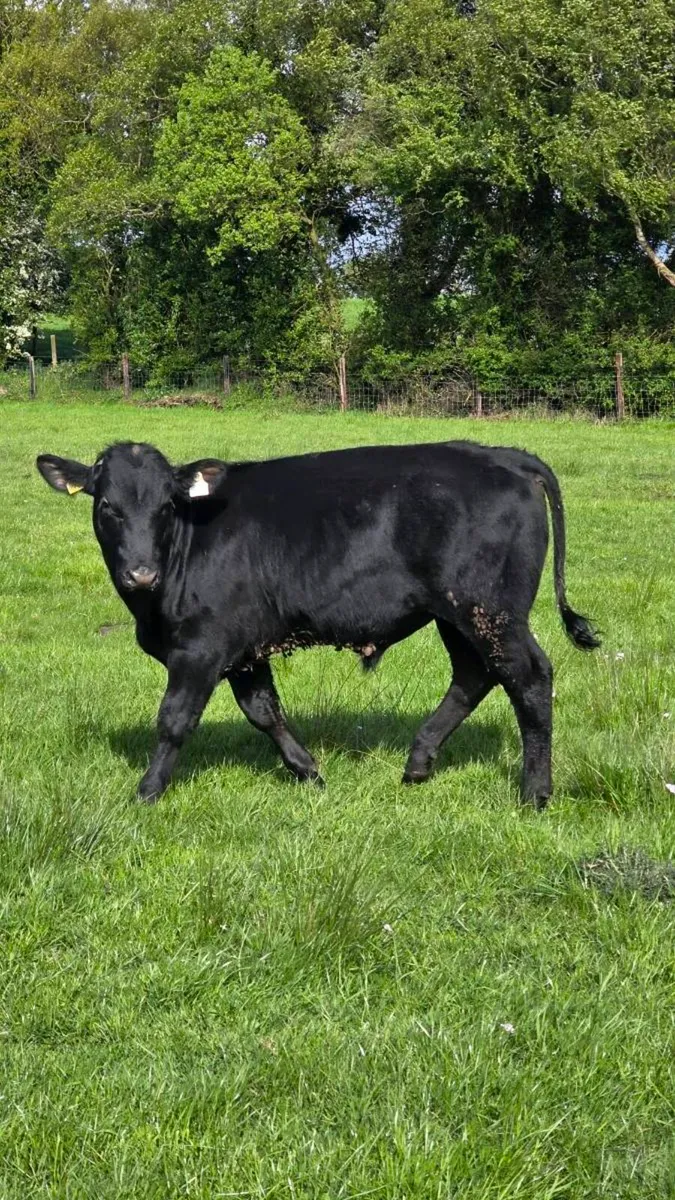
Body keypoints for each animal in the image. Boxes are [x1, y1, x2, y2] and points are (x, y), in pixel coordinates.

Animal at [36, 439, 599, 808]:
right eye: (108, 506)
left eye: (165, 506)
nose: (140, 572)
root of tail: (505, 455)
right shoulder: (243, 650)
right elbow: (264, 711)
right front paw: (308, 771)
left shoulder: (200, 648)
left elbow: (174, 720)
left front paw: (148, 790)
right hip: (456, 615)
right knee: (473, 676)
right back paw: (418, 763)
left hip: (490, 610)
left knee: (528, 678)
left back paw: (535, 792)